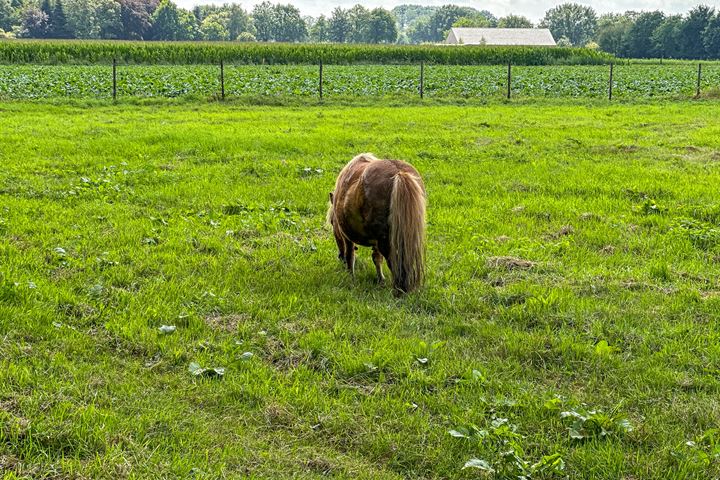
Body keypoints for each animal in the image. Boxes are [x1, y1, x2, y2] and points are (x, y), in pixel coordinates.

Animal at [328, 154, 428, 294]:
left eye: (332, 223)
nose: (339, 257)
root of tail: (399, 172)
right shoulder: (375, 242)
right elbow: (377, 259)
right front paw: (381, 280)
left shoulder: (347, 236)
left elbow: (350, 255)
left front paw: (350, 277)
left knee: (394, 263)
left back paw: (399, 290)